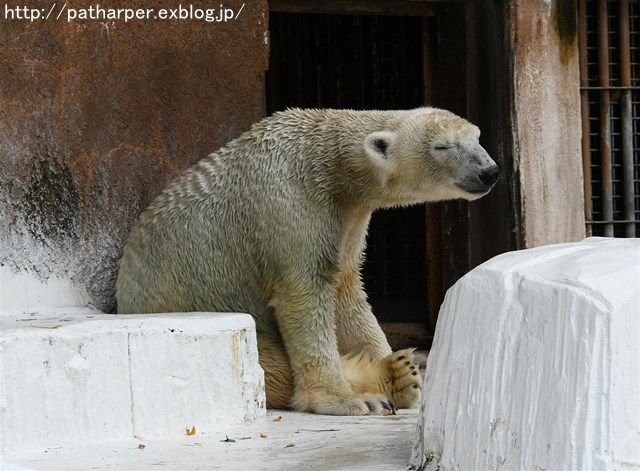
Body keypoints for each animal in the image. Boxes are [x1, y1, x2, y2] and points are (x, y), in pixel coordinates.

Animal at [119, 108, 500, 416]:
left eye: (477, 137)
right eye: (442, 147)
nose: (490, 171)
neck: (328, 164)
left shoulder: (349, 218)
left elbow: (347, 291)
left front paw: (391, 365)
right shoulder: (290, 205)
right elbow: (304, 294)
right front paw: (346, 399)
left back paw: (401, 373)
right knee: (270, 366)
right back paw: (387, 381)